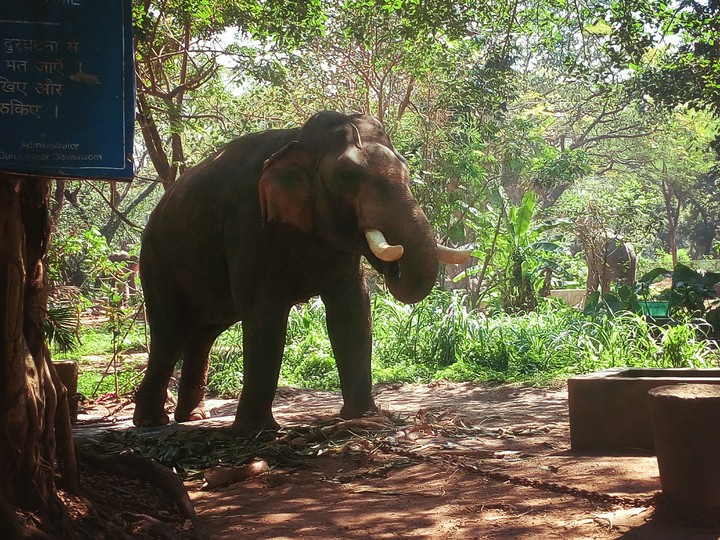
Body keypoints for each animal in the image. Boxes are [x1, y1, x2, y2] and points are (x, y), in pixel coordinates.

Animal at [132, 111, 470, 435]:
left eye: (406, 171)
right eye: (346, 176)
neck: (297, 139)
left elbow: (352, 311)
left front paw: (362, 417)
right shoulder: (249, 220)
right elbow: (265, 312)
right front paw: (256, 431)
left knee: (204, 332)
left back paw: (193, 416)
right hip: (156, 261)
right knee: (170, 333)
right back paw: (151, 421)